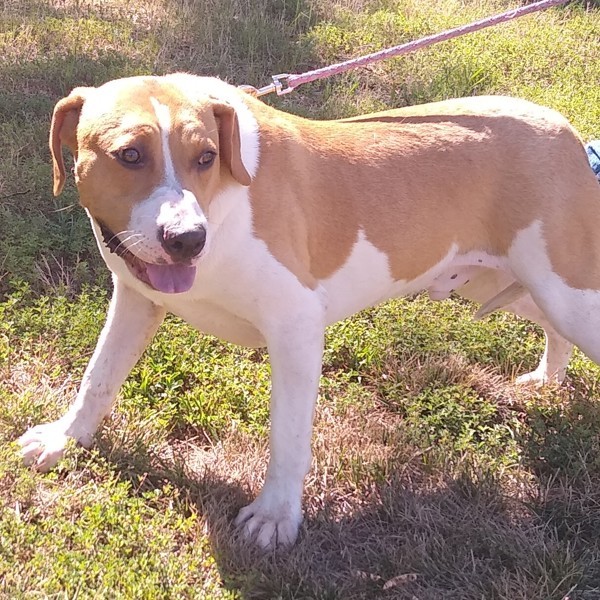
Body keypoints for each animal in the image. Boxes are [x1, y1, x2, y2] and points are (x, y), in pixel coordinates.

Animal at [16, 74, 600, 548]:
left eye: (205, 157)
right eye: (130, 155)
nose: (187, 240)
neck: (224, 205)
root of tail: (565, 130)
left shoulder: (295, 327)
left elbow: (289, 434)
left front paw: (276, 516)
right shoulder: (136, 300)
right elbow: (98, 377)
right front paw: (65, 439)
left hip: (567, 291)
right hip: (512, 284)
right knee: (552, 327)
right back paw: (548, 378)